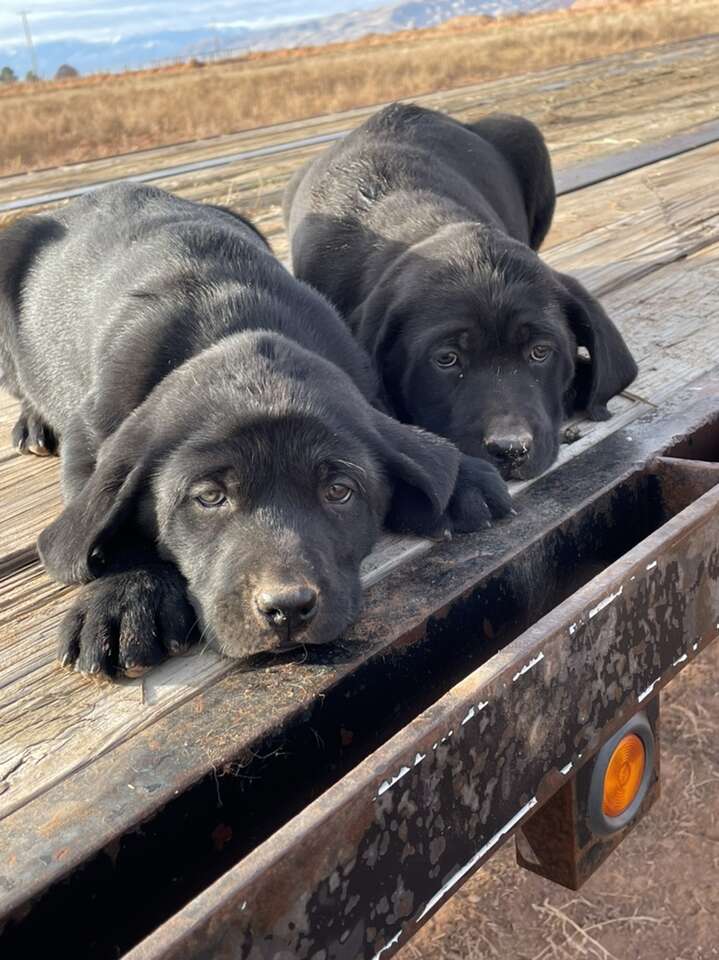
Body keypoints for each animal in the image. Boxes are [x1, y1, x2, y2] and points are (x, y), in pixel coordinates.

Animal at [0, 180, 512, 676]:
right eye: (209, 497)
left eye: (339, 491)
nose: (288, 608)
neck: (229, 322)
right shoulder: (91, 435)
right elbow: (101, 510)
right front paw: (123, 595)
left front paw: (463, 479)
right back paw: (33, 424)